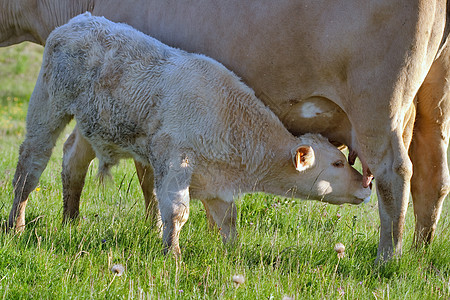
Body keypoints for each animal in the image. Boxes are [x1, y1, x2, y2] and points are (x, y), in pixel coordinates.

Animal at [0, 0, 446, 260]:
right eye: (336, 164)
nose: (360, 186)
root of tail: (80, 22)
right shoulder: (165, 152)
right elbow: (167, 200)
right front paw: (168, 249)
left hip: (379, 114)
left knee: (398, 175)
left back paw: (389, 257)